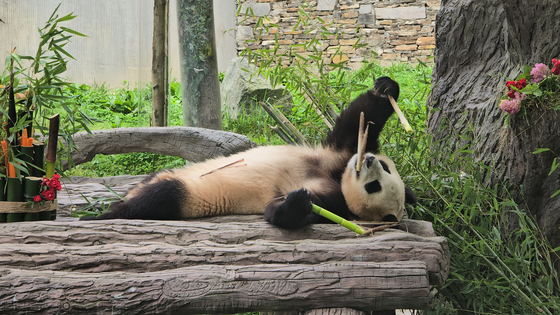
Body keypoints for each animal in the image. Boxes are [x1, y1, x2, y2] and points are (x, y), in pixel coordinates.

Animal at [81, 76, 418, 230]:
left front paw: (296, 202)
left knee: (160, 198)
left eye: (375, 186)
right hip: (168, 171)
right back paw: (109, 204)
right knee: (152, 185)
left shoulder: (337, 198)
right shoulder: (339, 154)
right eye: (385, 168)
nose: (369, 161)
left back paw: (106, 212)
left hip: (189, 195)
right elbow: (359, 121)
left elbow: (286, 211)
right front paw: (386, 89)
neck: (337, 175)